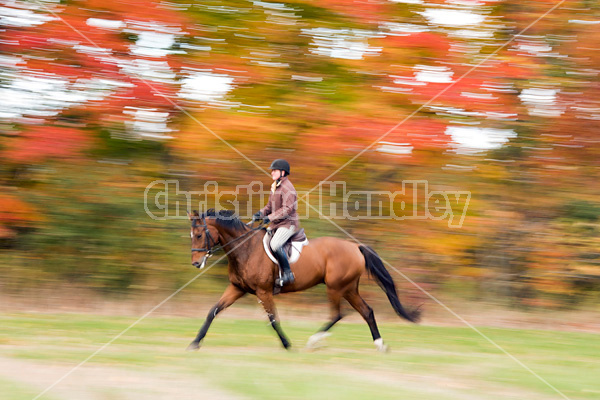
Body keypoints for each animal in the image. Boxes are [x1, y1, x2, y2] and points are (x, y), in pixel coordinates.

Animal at [189, 208, 422, 352]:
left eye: (199, 235)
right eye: (192, 235)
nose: (196, 263)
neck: (245, 248)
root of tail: (355, 246)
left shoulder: (264, 292)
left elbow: (274, 320)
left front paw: (287, 344)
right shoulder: (237, 288)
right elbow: (213, 312)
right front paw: (195, 342)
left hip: (335, 287)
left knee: (337, 314)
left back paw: (313, 341)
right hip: (348, 288)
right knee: (367, 312)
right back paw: (380, 345)